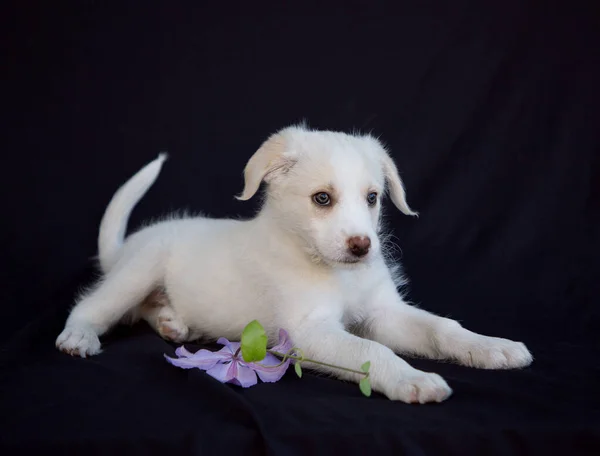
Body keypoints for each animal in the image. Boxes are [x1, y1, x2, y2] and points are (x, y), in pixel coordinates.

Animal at [57, 124, 536, 402]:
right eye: (322, 199)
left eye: (372, 197)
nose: (362, 246)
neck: (334, 271)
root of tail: (129, 245)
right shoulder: (309, 331)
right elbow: (371, 351)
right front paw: (411, 380)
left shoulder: (383, 313)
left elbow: (442, 328)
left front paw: (490, 347)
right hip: (137, 273)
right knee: (91, 307)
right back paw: (79, 337)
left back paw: (174, 323)